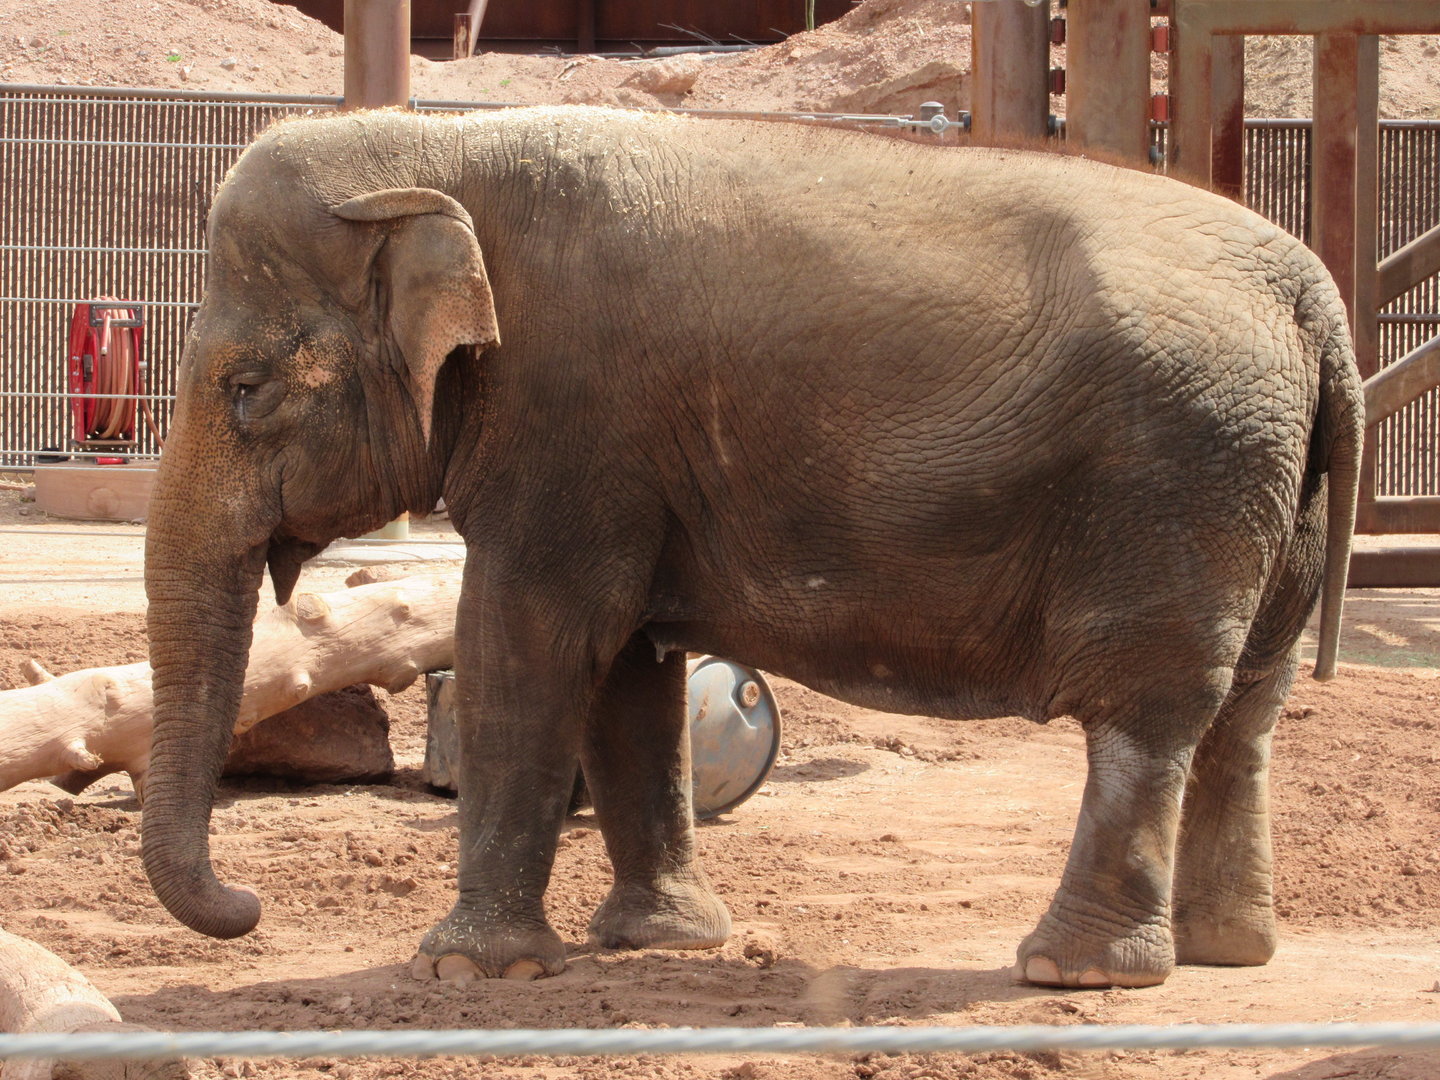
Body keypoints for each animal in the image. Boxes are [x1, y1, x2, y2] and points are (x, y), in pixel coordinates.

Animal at [141, 105, 1363, 991]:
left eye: (246, 391)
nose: (247, 908)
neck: (439, 148)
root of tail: (1314, 293)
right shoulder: (627, 461)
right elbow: (626, 668)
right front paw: (663, 942)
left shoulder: (572, 419)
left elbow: (529, 643)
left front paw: (467, 970)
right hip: (1271, 491)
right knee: (1248, 709)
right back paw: (1226, 954)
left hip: (1179, 479)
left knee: (1146, 713)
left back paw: (1077, 973)